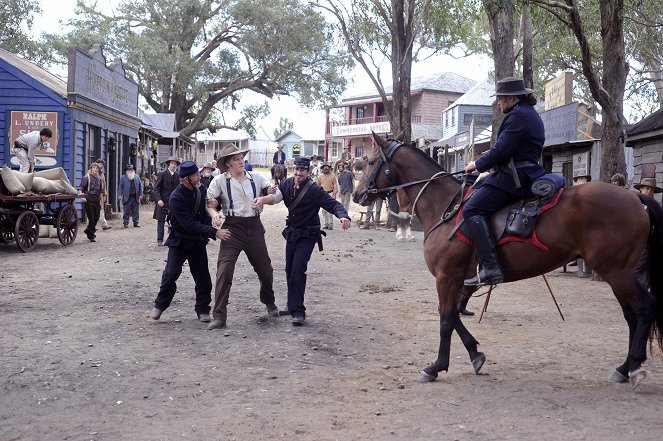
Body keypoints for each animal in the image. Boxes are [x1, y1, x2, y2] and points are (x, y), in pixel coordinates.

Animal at [356, 131, 663, 388]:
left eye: (370, 161)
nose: (359, 194)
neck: (445, 206)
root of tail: (635, 198)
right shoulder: (456, 280)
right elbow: (453, 316)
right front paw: (475, 353)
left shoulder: (447, 278)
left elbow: (445, 319)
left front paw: (436, 366)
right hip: (618, 274)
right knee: (632, 317)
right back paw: (624, 368)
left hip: (618, 273)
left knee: (646, 308)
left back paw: (634, 368)